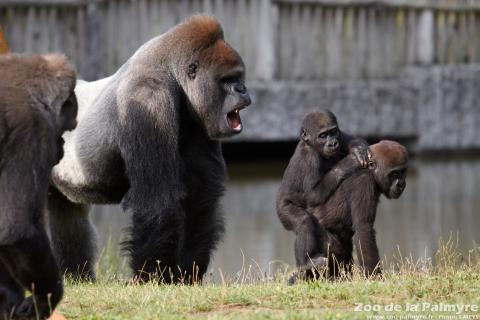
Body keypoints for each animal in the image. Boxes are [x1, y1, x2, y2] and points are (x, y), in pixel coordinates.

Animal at [48, 16, 251, 284]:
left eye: (239, 77)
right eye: (227, 80)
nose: (243, 90)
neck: (171, 74)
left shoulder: (199, 119)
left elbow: (200, 200)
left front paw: (187, 272)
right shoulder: (146, 101)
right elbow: (158, 202)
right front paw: (152, 276)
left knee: (66, 214)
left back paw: (76, 276)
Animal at [276, 111, 370, 272]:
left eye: (333, 132)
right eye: (323, 135)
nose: (333, 143)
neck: (310, 144)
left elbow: (347, 138)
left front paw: (358, 148)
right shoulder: (310, 160)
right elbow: (314, 194)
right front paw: (348, 163)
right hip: (282, 211)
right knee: (304, 220)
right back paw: (305, 263)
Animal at [288, 140, 408, 282]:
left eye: (403, 171)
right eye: (395, 173)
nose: (401, 184)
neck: (370, 171)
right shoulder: (364, 182)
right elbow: (364, 231)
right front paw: (374, 277)